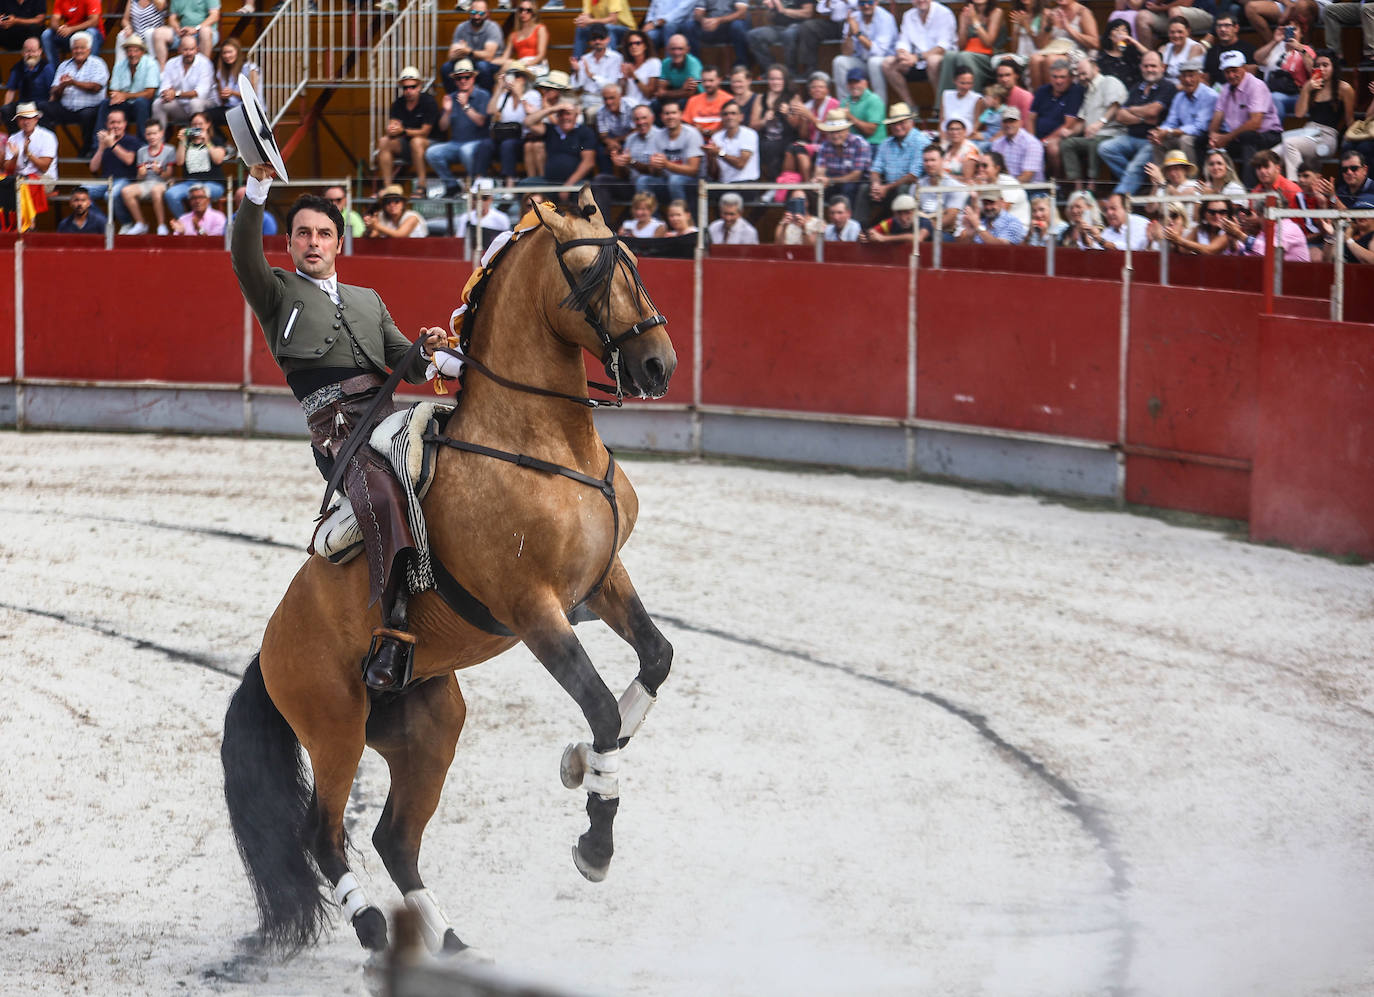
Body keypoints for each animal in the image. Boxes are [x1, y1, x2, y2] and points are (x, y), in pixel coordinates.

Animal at [217, 186, 678, 961]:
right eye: (588, 274)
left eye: (638, 263)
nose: (657, 366)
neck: (546, 444)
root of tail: (266, 649)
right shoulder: (534, 610)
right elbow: (602, 707)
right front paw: (594, 843)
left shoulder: (603, 578)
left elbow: (655, 660)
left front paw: (579, 761)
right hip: (336, 728)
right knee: (325, 832)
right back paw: (373, 928)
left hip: (430, 723)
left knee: (392, 837)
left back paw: (450, 942)